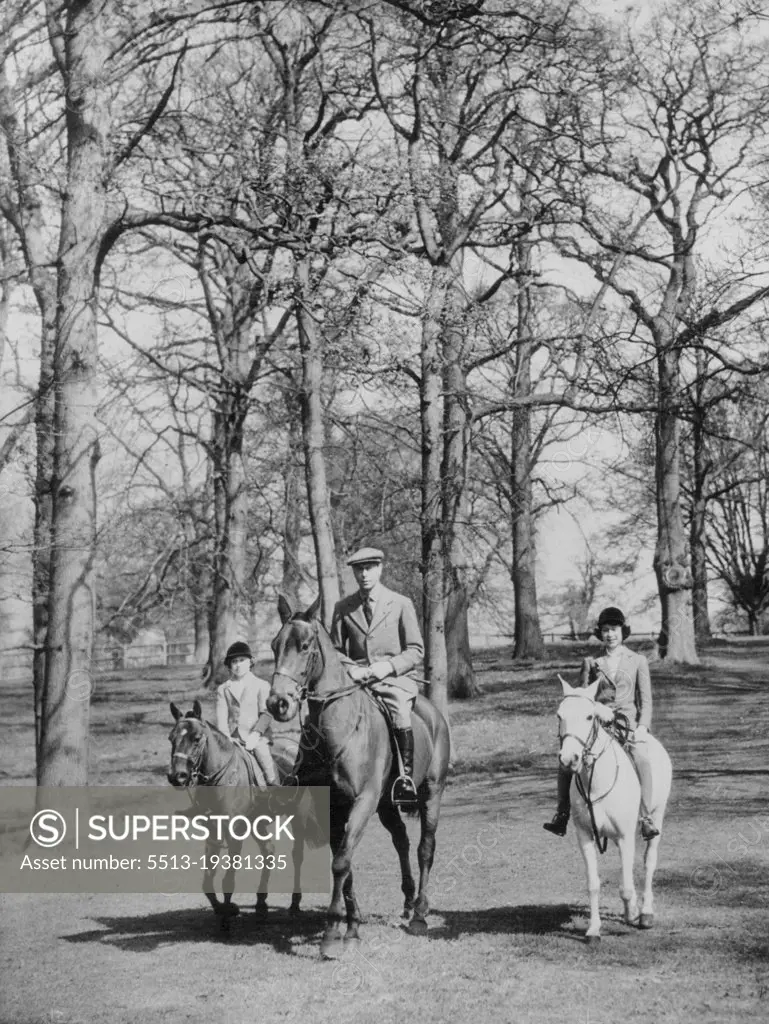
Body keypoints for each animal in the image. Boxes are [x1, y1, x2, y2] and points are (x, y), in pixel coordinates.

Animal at [166, 704, 303, 929]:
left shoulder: (234, 834)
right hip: (257, 823)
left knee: (297, 855)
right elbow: (207, 880)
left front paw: (226, 918)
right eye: (171, 738)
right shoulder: (213, 833)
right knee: (268, 851)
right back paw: (261, 904)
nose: (177, 777)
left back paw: (294, 904)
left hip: (297, 815)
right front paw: (224, 909)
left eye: (196, 738)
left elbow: (228, 880)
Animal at [268, 598, 454, 954]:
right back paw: (408, 901)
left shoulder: (362, 802)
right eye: (274, 645)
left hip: (431, 792)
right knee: (401, 840)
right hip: (386, 804)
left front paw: (331, 935)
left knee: (425, 847)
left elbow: (341, 862)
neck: (338, 731)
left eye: (305, 645)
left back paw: (419, 914)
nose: (277, 703)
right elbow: (346, 863)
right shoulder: (332, 808)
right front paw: (351, 926)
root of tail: (431, 711)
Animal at [557, 675, 671, 937]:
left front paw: (632, 915)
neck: (596, 781)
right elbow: (593, 884)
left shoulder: (625, 836)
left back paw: (646, 913)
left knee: (649, 862)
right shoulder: (585, 835)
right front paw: (593, 930)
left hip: (657, 816)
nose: (568, 759)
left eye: (589, 716)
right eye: (559, 715)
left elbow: (627, 887)